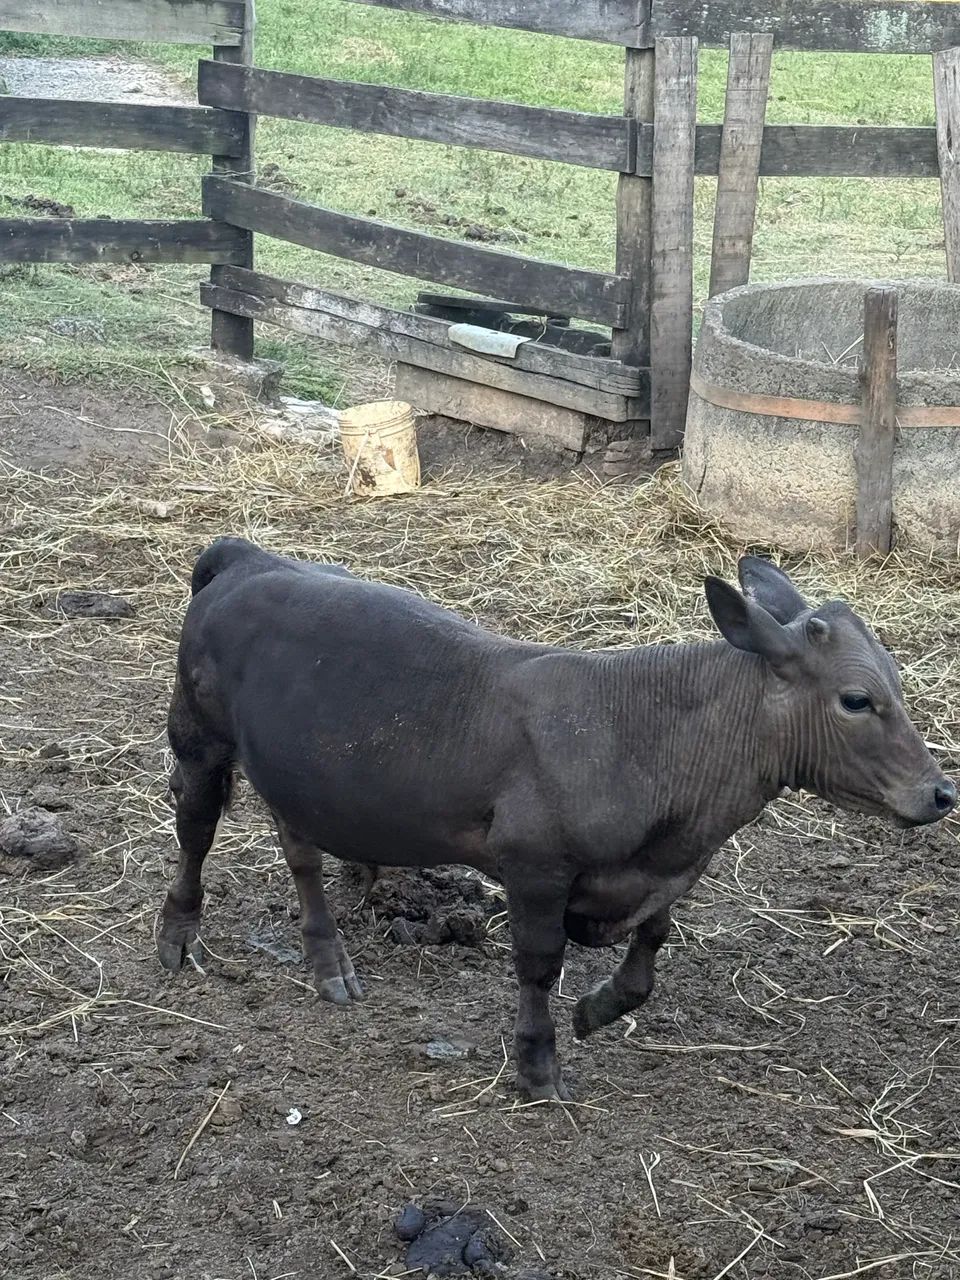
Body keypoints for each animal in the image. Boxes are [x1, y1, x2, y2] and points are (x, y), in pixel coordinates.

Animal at [158, 538, 956, 1101]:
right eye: (857, 699)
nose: (940, 793)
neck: (648, 738)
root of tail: (246, 556)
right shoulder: (535, 865)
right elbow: (539, 966)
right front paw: (539, 1065)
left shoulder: (664, 871)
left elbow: (648, 957)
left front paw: (597, 1010)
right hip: (198, 734)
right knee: (195, 828)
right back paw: (178, 935)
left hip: (299, 776)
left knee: (302, 856)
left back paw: (329, 961)